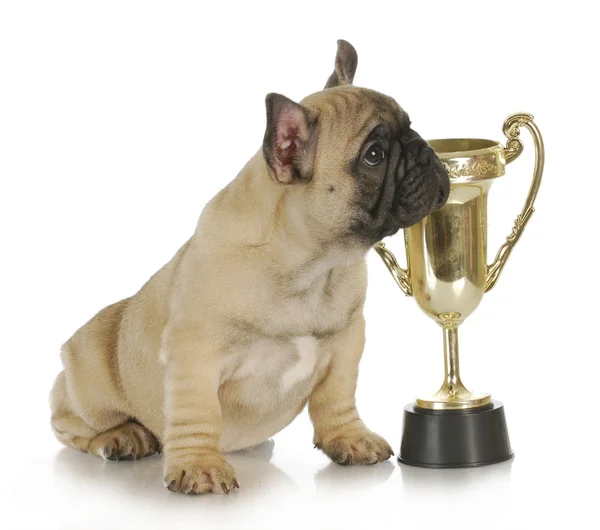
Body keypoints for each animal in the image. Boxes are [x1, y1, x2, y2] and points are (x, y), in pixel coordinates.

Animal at [49, 40, 448, 490]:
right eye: (374, 156)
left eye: (411, 126)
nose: (425, 152)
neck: (312, 266)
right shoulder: (194, 354)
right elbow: (197, 411)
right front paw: (200, 465)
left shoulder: (348, 341)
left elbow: (338, 396)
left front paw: (349, 437)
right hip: (89, 386)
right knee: (70, 423)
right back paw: (121, 437)